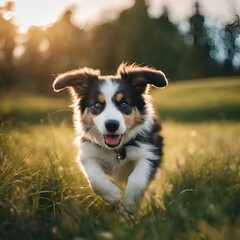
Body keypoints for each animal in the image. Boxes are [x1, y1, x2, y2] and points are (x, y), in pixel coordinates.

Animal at [52, 62, 167, 213]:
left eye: (124, 103)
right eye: (97, 104)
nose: (112, 125)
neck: (116, 150)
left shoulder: (149, 153)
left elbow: (137, 179)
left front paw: (128, 206)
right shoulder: (88, 153)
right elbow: (95, 177)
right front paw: (113, 195)